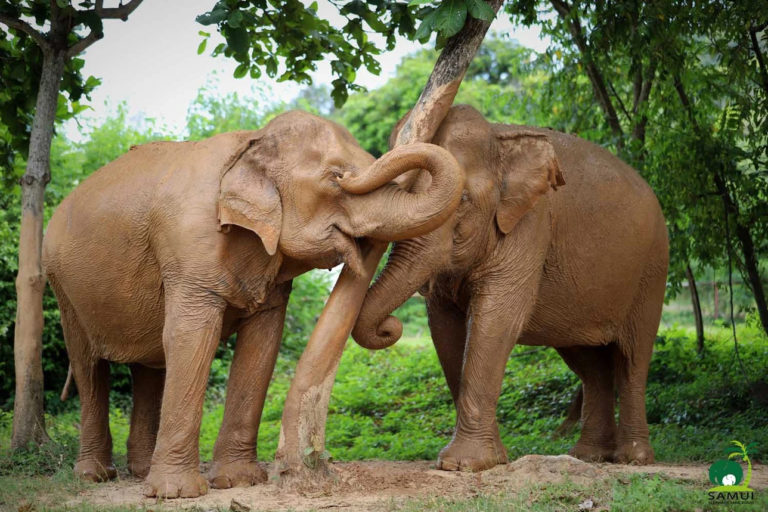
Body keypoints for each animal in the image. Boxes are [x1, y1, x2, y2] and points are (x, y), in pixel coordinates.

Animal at [42, 110, 463, 498]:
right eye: (335, 177)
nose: (392, 327)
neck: (251, 142)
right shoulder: (189, 247)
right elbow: (190, 338)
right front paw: (178, 493)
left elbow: (262, 344)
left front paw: (237, 481)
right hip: (62, 285)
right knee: (88, 366)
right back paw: (95, 475)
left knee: (147, 367)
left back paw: (140, 471)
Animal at [351, 105, 669, 471]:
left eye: (462, 201)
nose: (390, 327)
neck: (498, 139)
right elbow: (444, 328)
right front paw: (484, 460)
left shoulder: (531, 224)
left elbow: (498, 318)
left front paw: (464, 464)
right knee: (589, 364)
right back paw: (588, 456)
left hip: (651, 271)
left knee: (632, 359)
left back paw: (633, 459)